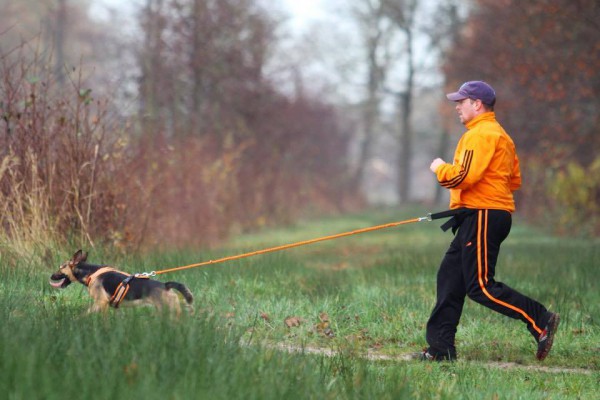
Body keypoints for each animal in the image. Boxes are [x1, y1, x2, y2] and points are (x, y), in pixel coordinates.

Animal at [50, 250, 195, 316]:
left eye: (60, 267)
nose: (51, 276)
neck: (90, 272)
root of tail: (165, 286)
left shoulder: (101, 303)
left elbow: (86, 314)